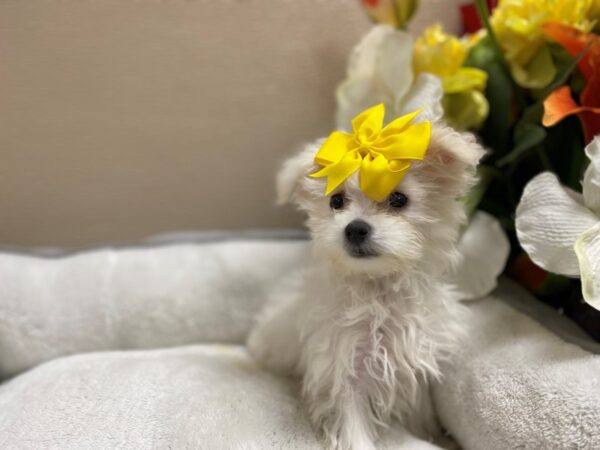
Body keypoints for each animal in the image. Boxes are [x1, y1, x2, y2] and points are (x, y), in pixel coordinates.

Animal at [246, 121, 486, 448]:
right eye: (336, 201)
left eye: (399, 199)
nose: (355, 228)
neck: (377, 289)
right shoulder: (343, 364)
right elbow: (352, 422)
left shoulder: (414, 358)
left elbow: (419, 406)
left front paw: (427, 434)